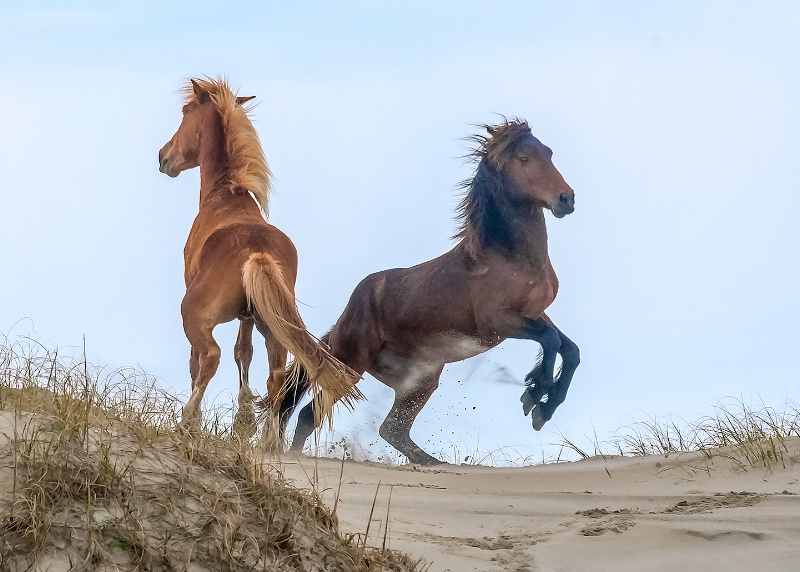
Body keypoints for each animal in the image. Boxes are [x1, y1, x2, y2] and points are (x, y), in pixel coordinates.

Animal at [155, 77, 360, 438]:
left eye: (185, 111)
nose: (163, 157)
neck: (225, 196)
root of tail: (258, 253)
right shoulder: (249, 316)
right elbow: (244, 353)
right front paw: (244, 418)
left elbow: (200, 361)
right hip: (275, 330)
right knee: (276, 378)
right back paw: (268, 440)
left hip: (195, 314)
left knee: (210, 356)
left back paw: (188, 420)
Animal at [276, 120, 580, 464]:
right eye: (524, 158)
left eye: (549, 153)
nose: (566, 199)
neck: (510, 258)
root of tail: (341, 323)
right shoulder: (498, 323)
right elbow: (551, 341)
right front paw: (534, 394)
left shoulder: (535, 313)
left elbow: (570, 350)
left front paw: (543, 407)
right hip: (349, 365)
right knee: (309, 416)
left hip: (419, 382)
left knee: (391, 429)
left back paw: (436, 464)